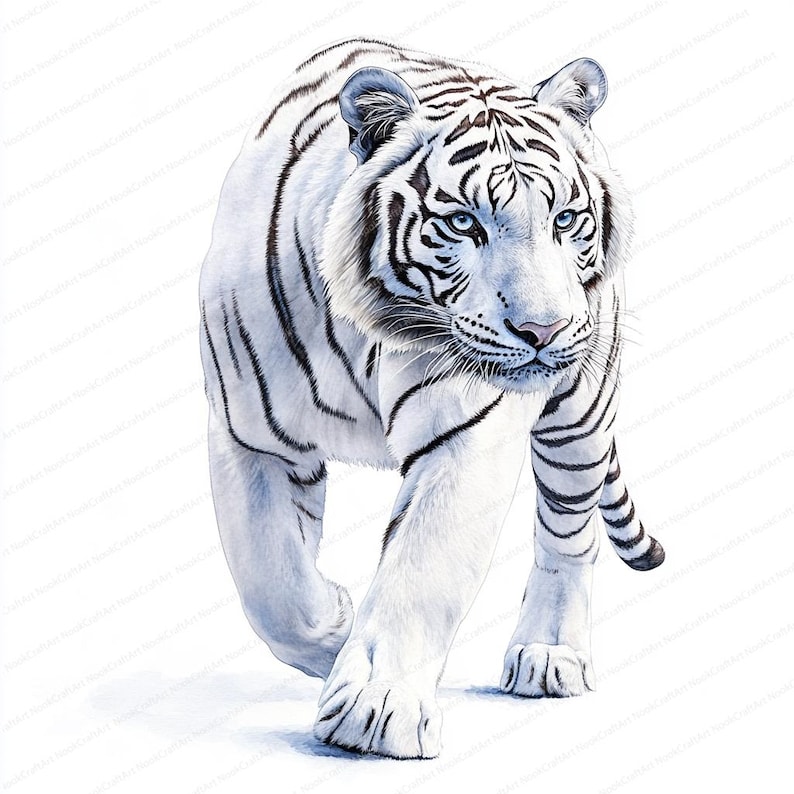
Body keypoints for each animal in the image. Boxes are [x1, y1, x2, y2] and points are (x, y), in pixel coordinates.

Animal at [199, 37, 665, 759]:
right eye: (464, 223)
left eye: (564, 220)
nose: (545, 329)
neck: (365, 327)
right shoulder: (248, 433)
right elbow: (271, 581)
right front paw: (335, 633)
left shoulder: (466, 433)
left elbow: (423, 565)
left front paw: (375, 711)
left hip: (580, 416)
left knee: (568, 533)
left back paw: (548, 656)